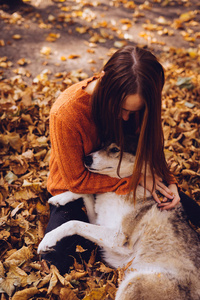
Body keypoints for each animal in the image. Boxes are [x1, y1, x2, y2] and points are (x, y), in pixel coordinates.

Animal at [37, 144, 200, 298]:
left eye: (115, 149)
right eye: (101, 144)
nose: (86, 159)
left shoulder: (119, 238)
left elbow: (73, 223)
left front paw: (48, 239)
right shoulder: (99, 221)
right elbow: (85, 194)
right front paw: (59, 198)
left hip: (133, 284)